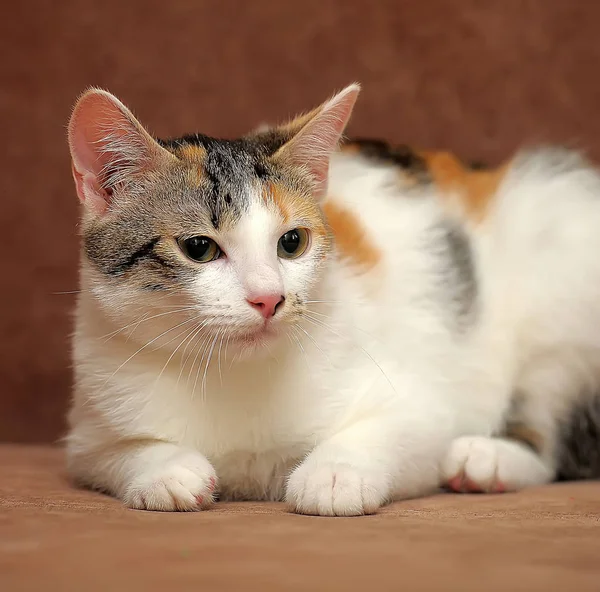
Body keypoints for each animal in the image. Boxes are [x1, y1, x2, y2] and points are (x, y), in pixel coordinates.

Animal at [65, 82, 600, 512]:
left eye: (292, 242)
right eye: (198, 248)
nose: (269, 298)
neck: (233, 374)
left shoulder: (421, 402)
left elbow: (398, 428)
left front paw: (336, 474)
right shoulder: (90, 419)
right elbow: (108, 452)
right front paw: (166, 470)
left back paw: (487, 459)